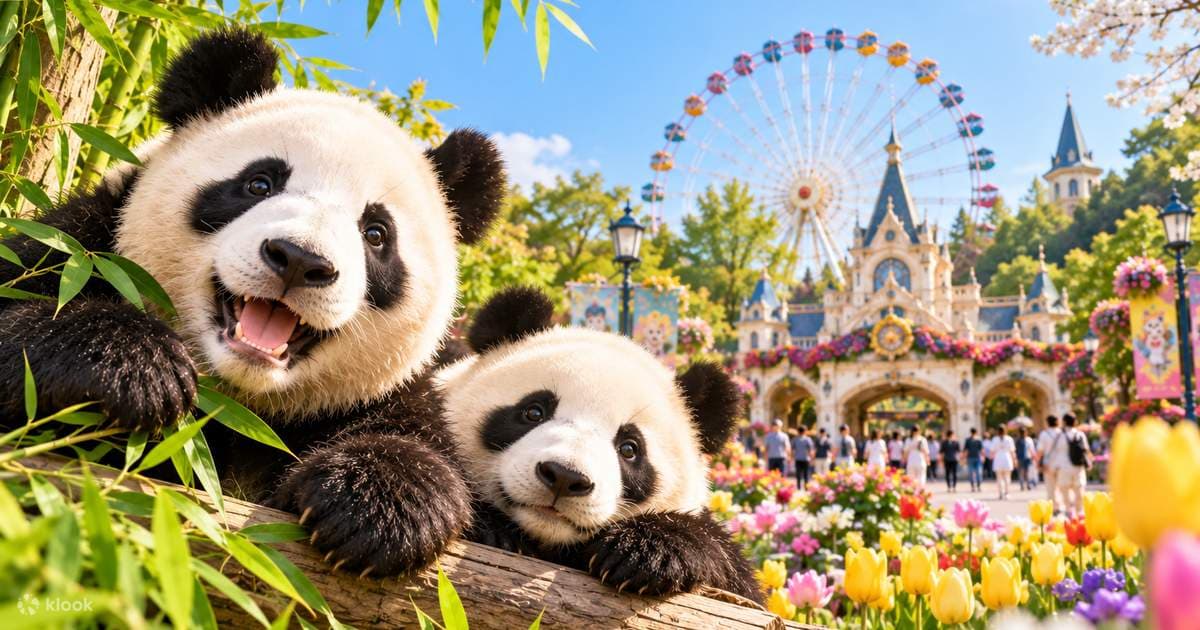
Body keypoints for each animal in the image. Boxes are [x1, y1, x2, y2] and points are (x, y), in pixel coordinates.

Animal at [0, 28, 506, 578]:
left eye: (376, 233)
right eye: (259, 183)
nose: (300, 260)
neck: (238, 403)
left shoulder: (402, 387)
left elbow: (427, 453)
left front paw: (374, 504)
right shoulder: (80, 249)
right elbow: (23, 314)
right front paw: (131, 366)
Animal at [437, 287, 761, 602]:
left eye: (629, 448)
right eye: (534, 412)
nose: (564, 477)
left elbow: (734, 574)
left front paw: (643, 552)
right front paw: (493, 529)